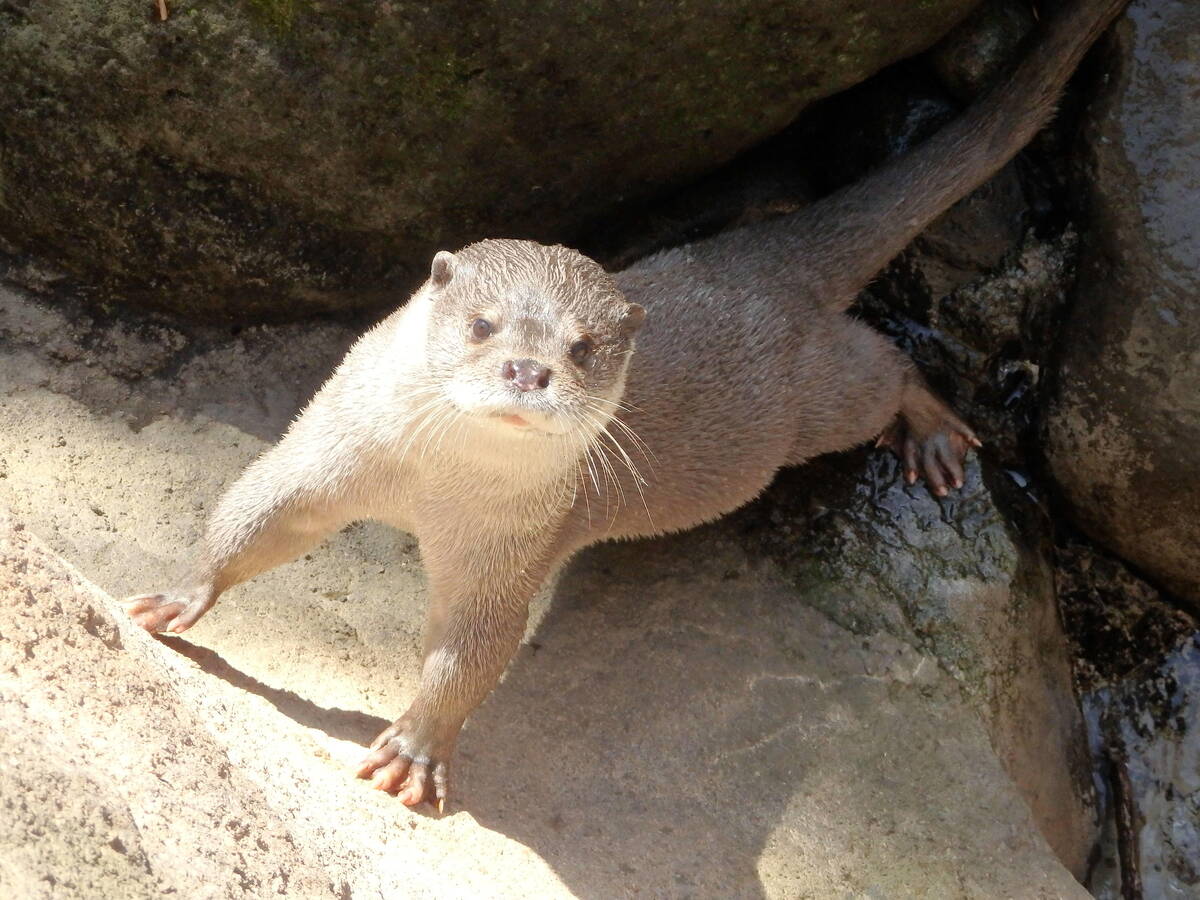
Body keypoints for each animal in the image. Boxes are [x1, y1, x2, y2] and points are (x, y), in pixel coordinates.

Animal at [126, 0, 1128, 816]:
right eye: (484, 323)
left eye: (582, 348)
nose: (529, 370)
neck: (429, 487)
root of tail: (756, 265)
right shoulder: (331, 446)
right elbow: (258, 511)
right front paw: (176, 595)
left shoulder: (510, 548)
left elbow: (470, 649)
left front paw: (415, 747)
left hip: (812, 400)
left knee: (886, 368)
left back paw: (931, 432)